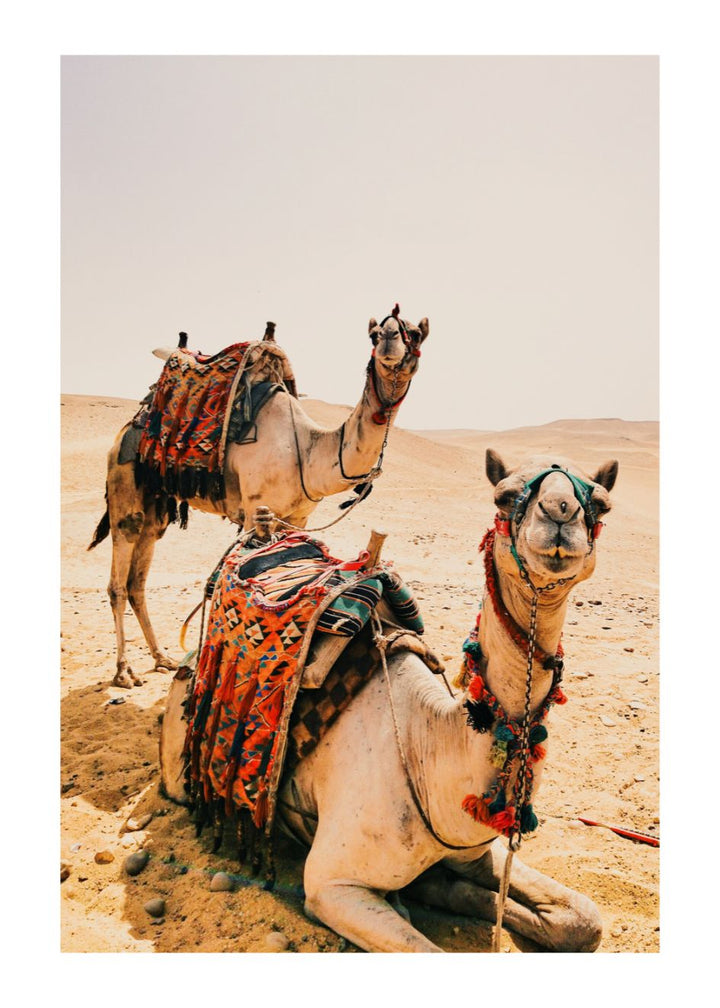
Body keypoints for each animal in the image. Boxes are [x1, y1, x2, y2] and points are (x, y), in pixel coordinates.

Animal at [89, 310, 429, 688]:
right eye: (374, 334)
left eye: (415, 333)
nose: (390, 340)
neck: (308, 452)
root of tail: (131, 425)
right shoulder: (255, 511)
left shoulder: (297, 518)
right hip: (125, 485)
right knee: (119, 580)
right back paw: (123, 672)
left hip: (156, 505)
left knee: (138, 578)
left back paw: (161, 657)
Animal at [267, 449, 618, 952]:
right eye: (504, 495)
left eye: (603, 504)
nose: (559, 512)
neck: (427, 749)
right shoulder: (332, 885)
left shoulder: (474, 846)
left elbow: (582, 918)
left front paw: (443, 889)